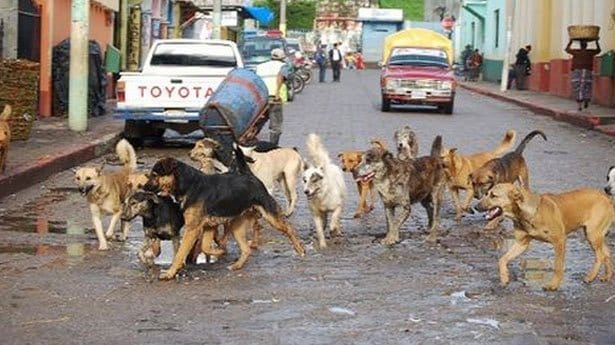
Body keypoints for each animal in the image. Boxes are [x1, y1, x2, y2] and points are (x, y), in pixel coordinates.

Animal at [147, 145, 306, 280]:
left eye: (154, 175)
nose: (144, 187)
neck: (188, 184)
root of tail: (250, 176)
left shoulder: (192, 229)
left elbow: (180, 254)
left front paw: (169, 273)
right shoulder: (208, 226)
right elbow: (205, 246)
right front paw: (220, 252)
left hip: (271, 216)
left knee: (289, 229)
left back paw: (300, 249)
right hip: (237, 226)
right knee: (246, 249)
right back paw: (236, 265)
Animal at [476, 183, 615, 290]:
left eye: (493, 195)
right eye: (487, 193)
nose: (475, 207)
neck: (527, 214)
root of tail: (606, 198)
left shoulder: (559, 241)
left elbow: (557, 266)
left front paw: (553, 285)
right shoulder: (521, 243)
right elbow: (502, 259)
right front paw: (504, 277)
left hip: (592, 234)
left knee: (600, 256)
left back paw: (590, 277)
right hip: (594, 234)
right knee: (606, 253)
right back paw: (607, 276)